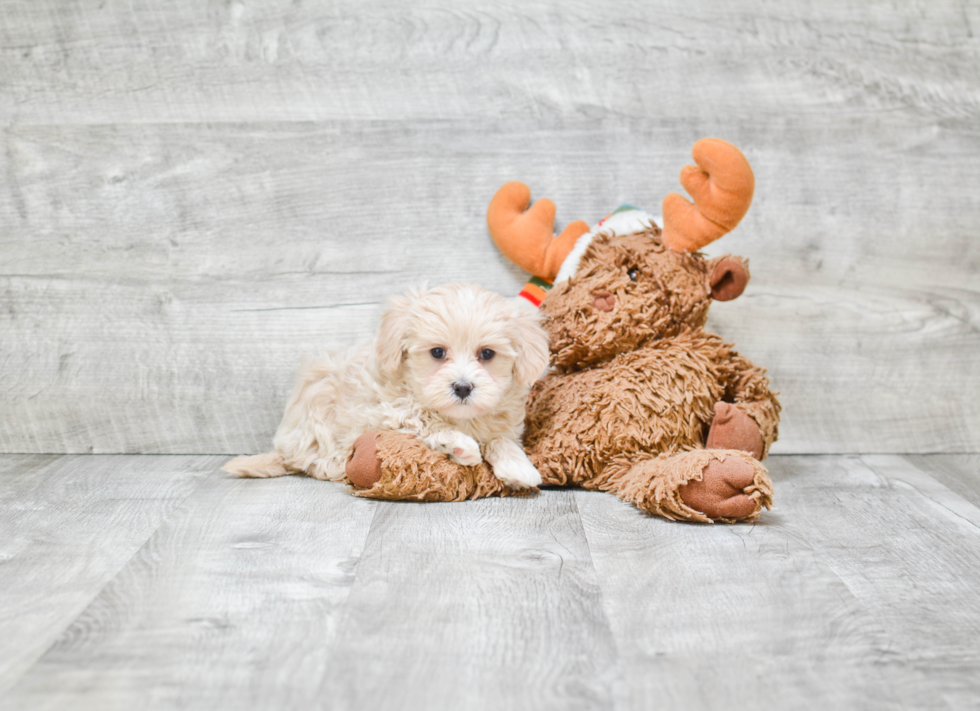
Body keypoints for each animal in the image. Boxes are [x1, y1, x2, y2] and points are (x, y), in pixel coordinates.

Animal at [225, 284, 556, 490]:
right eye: (437, 352)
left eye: (487, 354)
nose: (463, 387)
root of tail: (282, 447)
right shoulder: (383, 412)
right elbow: (423, 420)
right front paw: (458, 445)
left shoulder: (502, 424)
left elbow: (501, 440)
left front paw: (517, 467)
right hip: (318, 408)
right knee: (315, 462)